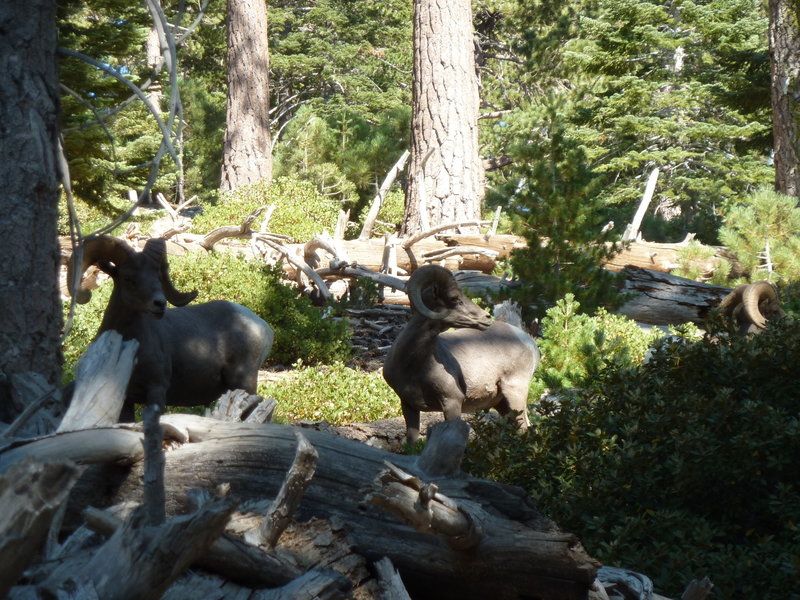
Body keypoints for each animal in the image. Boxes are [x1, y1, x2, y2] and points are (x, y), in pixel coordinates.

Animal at [69, 236, 276, 422]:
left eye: (158, 276)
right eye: (128, 278)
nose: (160, 304)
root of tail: (264, 327)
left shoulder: (156, 390)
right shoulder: (126, 400)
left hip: (244, 382)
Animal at [382, 264, 544, 442]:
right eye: (455, 298)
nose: (486, 317)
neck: (415, 365)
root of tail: (528, 341)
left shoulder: (452, 402)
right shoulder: (408, 406)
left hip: (515, 393)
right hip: (501, 404)